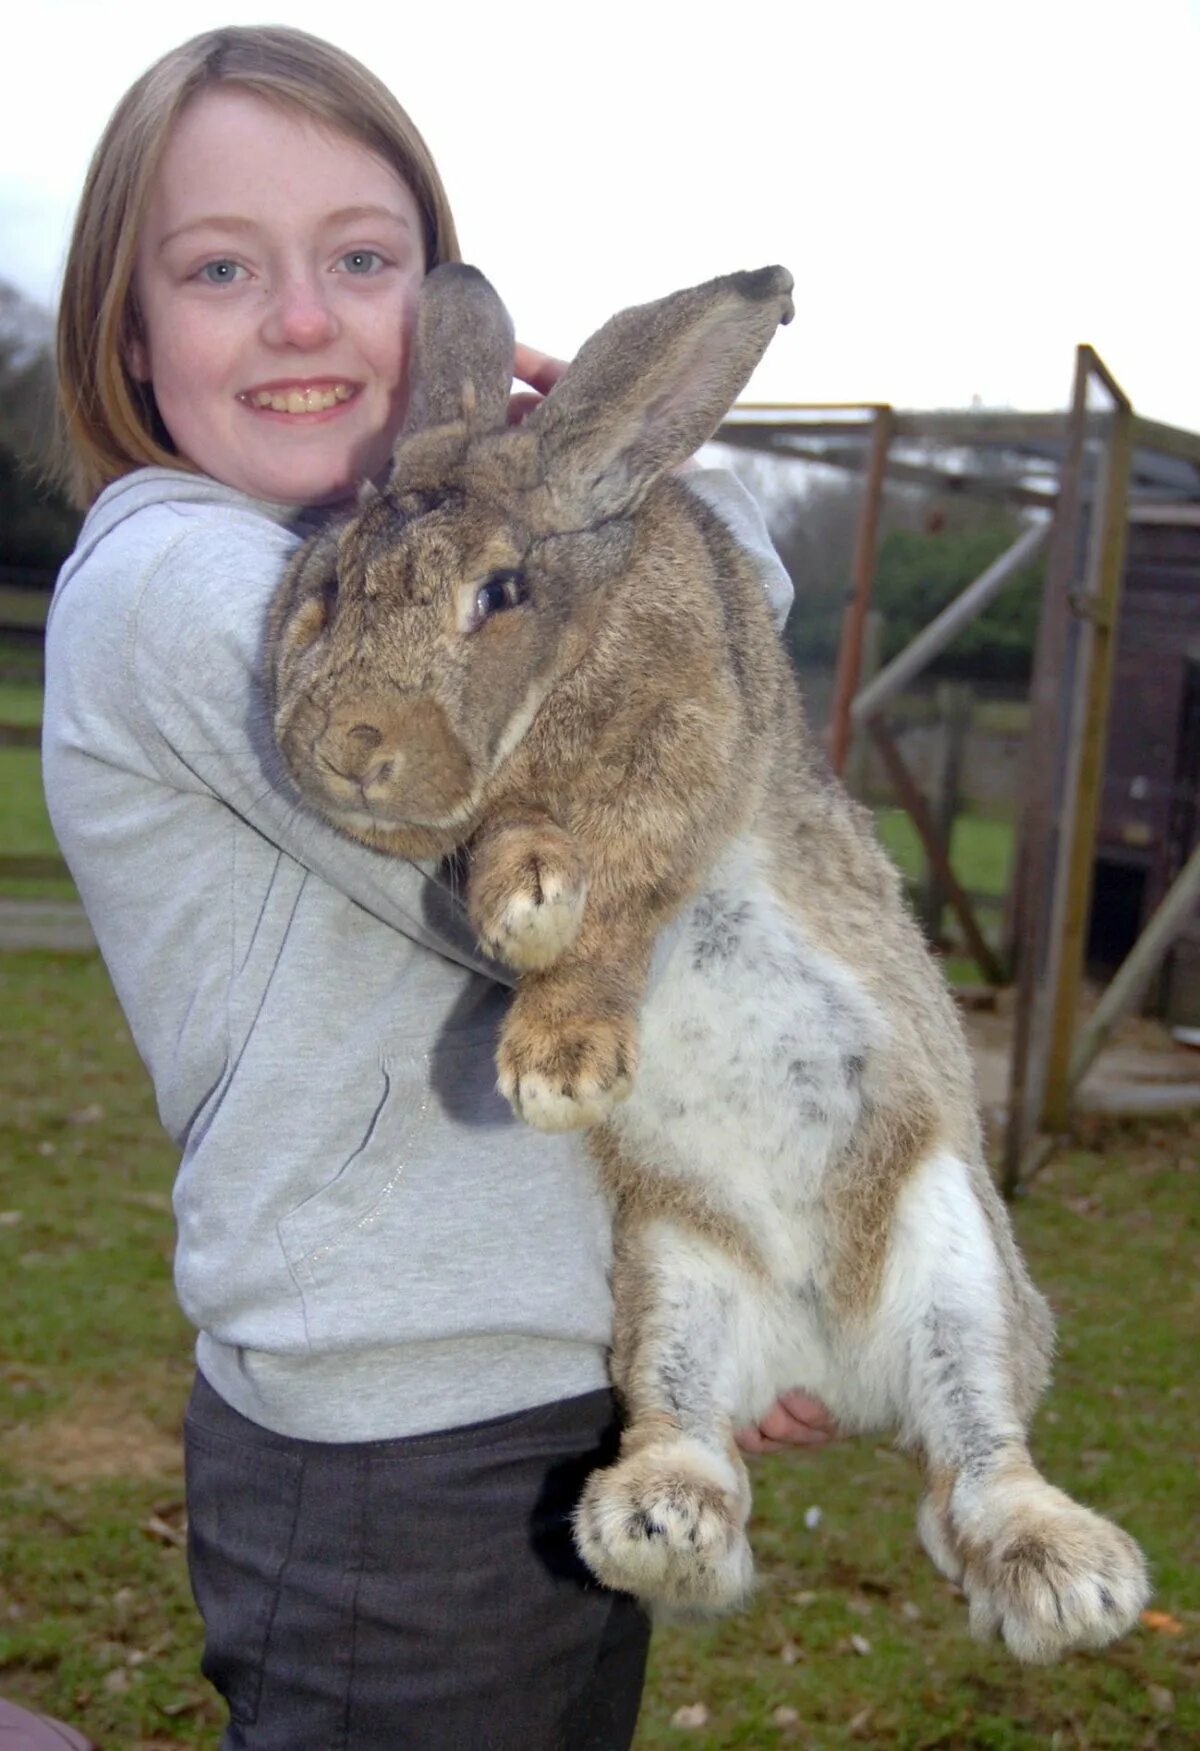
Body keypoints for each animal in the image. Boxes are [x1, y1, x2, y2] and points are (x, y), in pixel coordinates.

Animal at [266, 259, 1149, 1652]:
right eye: (332, 584)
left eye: (501, 592)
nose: (349, 743)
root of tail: (827, 1365)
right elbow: (510, 843)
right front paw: (522, 891)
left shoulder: (682, 757)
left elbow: (617, 900)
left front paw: (558, 1051)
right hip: (669, 1285)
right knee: (704, 1445)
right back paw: (660, 1524)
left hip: (955, 1256)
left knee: (975, 1457)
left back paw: (1068, 1576)